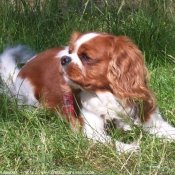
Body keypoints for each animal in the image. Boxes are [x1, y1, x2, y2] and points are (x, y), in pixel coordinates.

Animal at [1, 31, 175, 153]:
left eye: (86, 57)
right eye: (70, 52)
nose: (64, 59)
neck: (110, 95)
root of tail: (19, 73)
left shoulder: (153, 121)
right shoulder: (92, 132)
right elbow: (112, 142)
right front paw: (130, 148)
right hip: (32, 103)